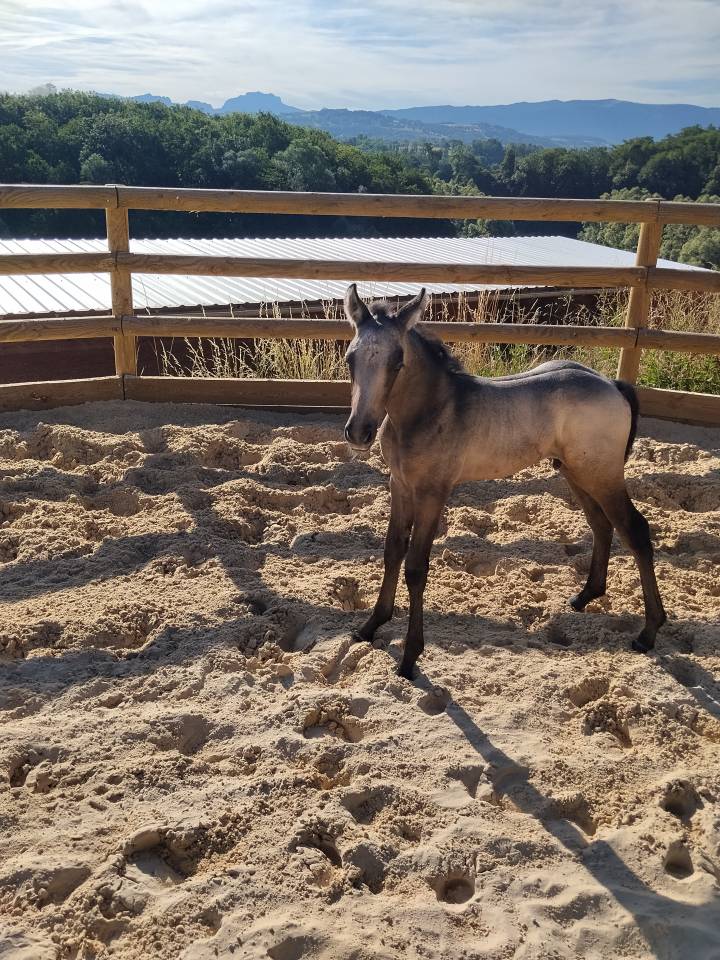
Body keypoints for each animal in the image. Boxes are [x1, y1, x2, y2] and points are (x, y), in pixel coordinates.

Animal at [342, 283, 666, 680]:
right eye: (350, 359)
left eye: (397, 363)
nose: (359, 431)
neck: (431, 410)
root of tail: (613, 384)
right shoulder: (399, 486)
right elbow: (391, 552)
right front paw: (371, 626)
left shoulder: (433, 493)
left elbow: (416, 567)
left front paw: (409, 657)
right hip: (576, 471)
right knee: (601, 525)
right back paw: (586, 595)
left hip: (603, 475)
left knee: (635, 530)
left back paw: (648, 632)